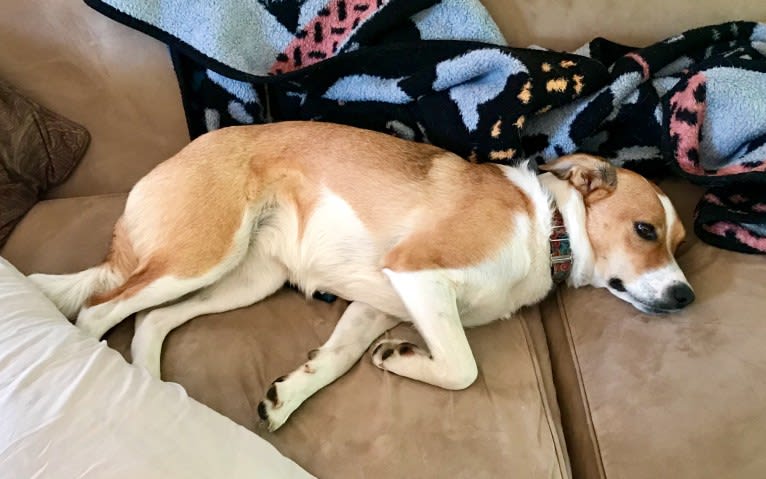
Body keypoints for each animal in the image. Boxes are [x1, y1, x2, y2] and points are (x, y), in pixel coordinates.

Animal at [28, 120, 696, 432]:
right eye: (644, 230)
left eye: (678, 243)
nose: (687, 296)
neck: (546, 228)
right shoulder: (416, 273)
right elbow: (460, 366)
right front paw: (401, 358)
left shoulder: (380, 302)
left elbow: (336, 359)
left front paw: (291, 393)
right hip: (202, 253)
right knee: (99, 310)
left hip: (242, 278)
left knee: (151, 320)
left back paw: (153, 390)